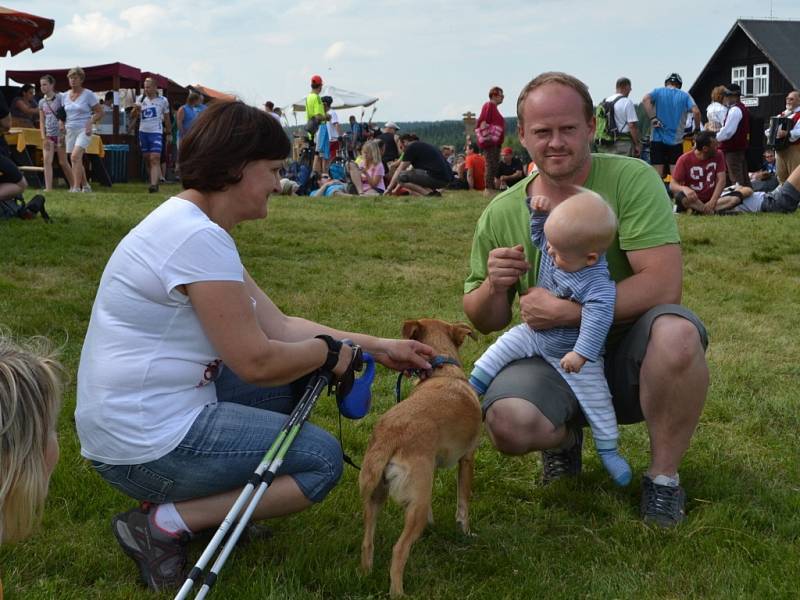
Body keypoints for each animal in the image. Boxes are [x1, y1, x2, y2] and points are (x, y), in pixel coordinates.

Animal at [360, 318, 482, 596]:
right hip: (415, 501)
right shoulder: (467, 459)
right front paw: (465, 532)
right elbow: (463, 503)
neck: (443, 370)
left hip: (377, 494)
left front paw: (432, 524)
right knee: (398, 550)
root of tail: (391, 434)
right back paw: (398, 593)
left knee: (367, 541)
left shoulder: (431, 467)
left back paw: (366, 573)